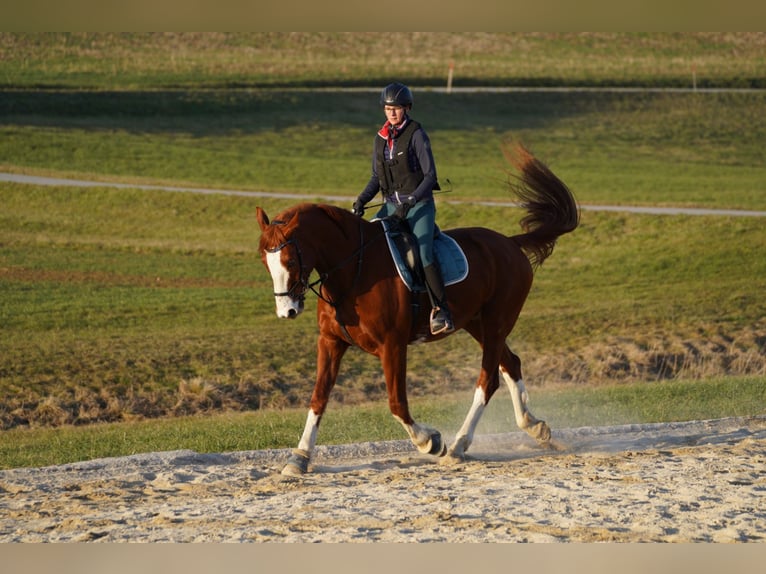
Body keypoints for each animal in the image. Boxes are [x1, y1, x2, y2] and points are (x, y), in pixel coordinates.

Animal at [258, 145, 584, 476]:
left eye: (290, 260)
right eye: (265, 261)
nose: (287, 310)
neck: (353, 269)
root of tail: (510, 244)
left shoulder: (392, 345)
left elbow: (396, 403)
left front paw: (431, 441)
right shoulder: (331, 342)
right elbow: (319, 398)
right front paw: (300, 456)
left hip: (496, 322)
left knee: (488, 380)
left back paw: (459, 445)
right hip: (477, 324)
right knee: (510, 364)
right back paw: (534, 427)